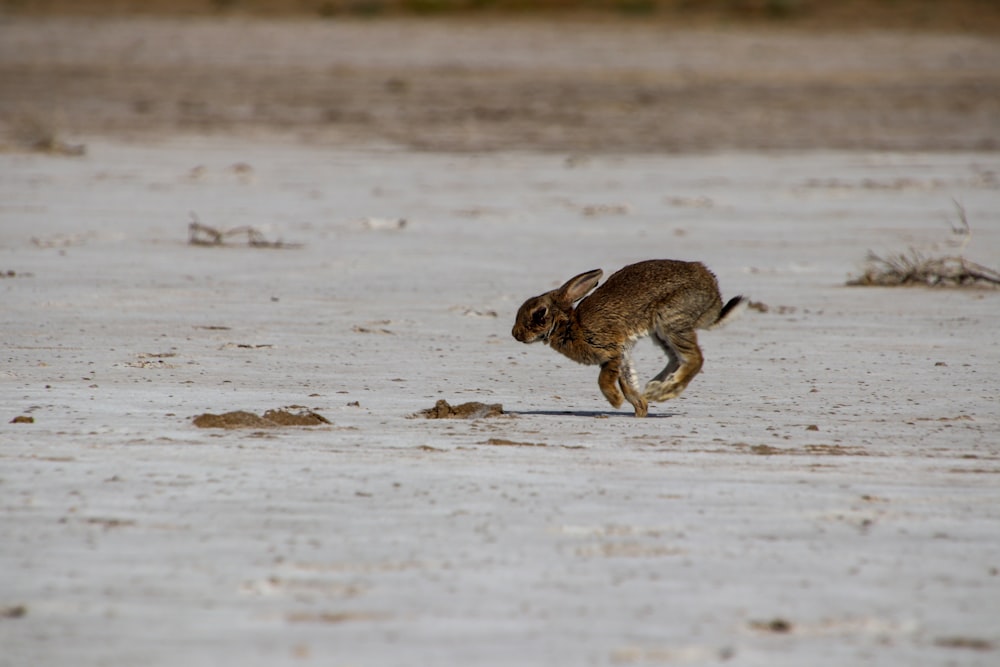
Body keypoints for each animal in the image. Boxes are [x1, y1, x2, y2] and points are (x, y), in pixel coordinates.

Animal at [516, 260, 744, 418]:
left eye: (540, 313)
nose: (516, 335)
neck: (571, 325)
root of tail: (715, 297)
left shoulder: (611, 350)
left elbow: (604, 380)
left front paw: (616, 402)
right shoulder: (623, 354)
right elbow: (627, 383)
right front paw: (640, 410)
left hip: (671, 319)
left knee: (695, 359)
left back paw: (664, 392)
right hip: (661, 331)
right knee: (676, 358)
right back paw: (654, 388)